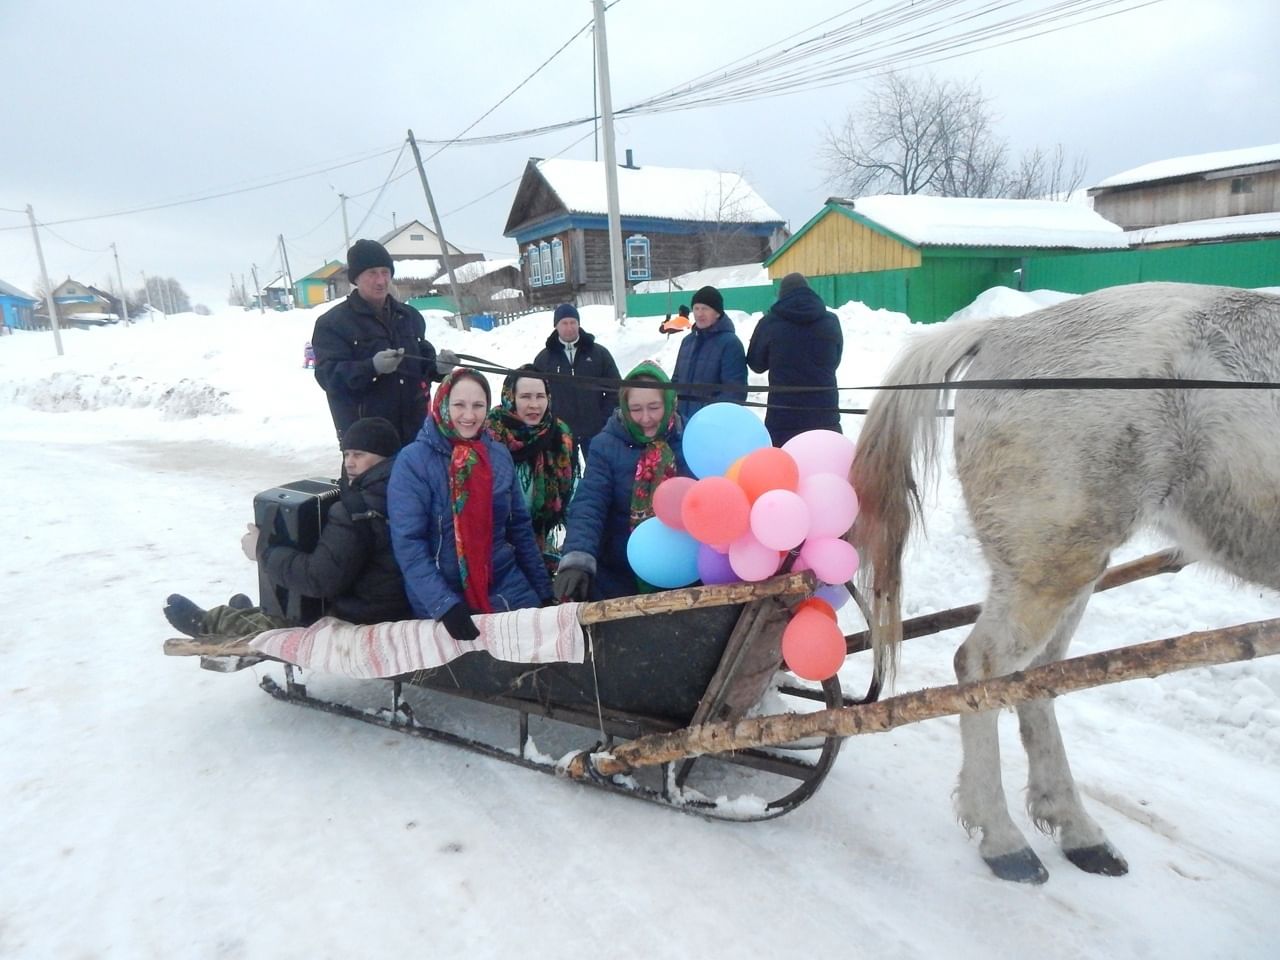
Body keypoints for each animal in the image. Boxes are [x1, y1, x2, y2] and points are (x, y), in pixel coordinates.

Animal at [849, 284, 1280, 885]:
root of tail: (1003, 331)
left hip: (1070, 564)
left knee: (1036, 678)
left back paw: (1075, 828)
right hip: (1052, 560)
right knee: (982, 667)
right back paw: (1002, 836)